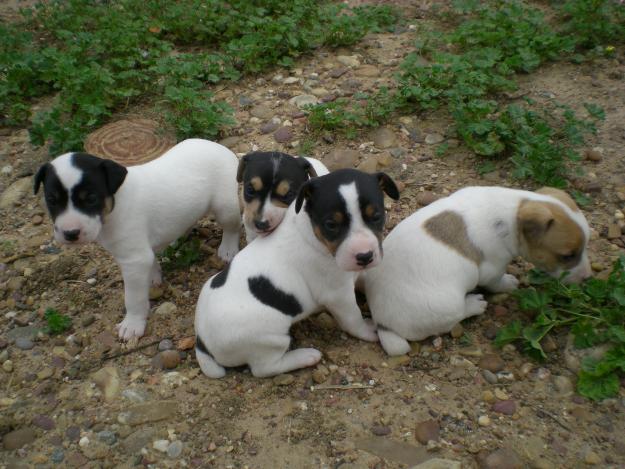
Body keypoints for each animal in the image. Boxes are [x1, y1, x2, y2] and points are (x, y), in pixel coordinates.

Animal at [33, 139, 244, 340]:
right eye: (51, 200)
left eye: (91, 198)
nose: (70, 233)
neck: (115, 204)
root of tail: (220, 147)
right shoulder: (140, 253)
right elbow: (151, 263)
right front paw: (152, 277)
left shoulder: (133, 260)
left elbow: (133, 298)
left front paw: (132, 324)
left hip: (225, 206)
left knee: (232, 226)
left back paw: (227, 249)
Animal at [195, 168, 400, 376]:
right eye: (331, 225)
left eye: (376, 216)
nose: (365, 256)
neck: (313, 235)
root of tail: (202, 343)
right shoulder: (338, 296)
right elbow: (353, 318)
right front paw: (367, 330)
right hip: (269, 339)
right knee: (265, 368)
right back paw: (305, 356)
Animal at [360, 186, 588, 354]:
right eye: (567, 256)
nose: (587, 278)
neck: (513, 211)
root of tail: (383, 324)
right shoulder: (493, 269)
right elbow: (497, 282)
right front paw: (509, 283)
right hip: (449, 306)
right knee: (455, 317)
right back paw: (474, 304)